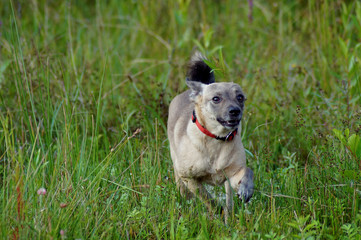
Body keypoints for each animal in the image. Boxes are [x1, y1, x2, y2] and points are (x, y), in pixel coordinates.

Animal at [168, 52, 255, 219]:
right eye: (216, 99)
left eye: (240, 97)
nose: (235, 111)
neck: (217, 139)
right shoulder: (189, 178)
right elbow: (207, 198)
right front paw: (217, 211)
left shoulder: (232, 175)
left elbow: (248, 171)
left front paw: (246, 190)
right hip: (178, 176)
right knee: (185, 194)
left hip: (227, 185)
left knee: (229, 201)